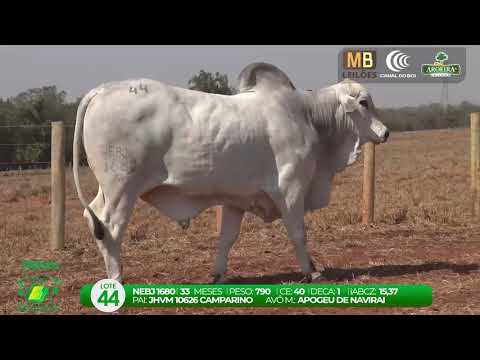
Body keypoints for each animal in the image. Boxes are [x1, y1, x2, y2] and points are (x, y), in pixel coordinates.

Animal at [75, 64, 390, 284]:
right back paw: (116, 278)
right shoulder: (291, 188)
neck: (308, 115)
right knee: (110, 226)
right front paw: (312, 272)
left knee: (93, 217)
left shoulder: (235, 199)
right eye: (364, 103)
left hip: (108, 189)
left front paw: (217, 274)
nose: (385, 132)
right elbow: (298, 233)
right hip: (122, 187)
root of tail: (102, 90)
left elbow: (227, 238)